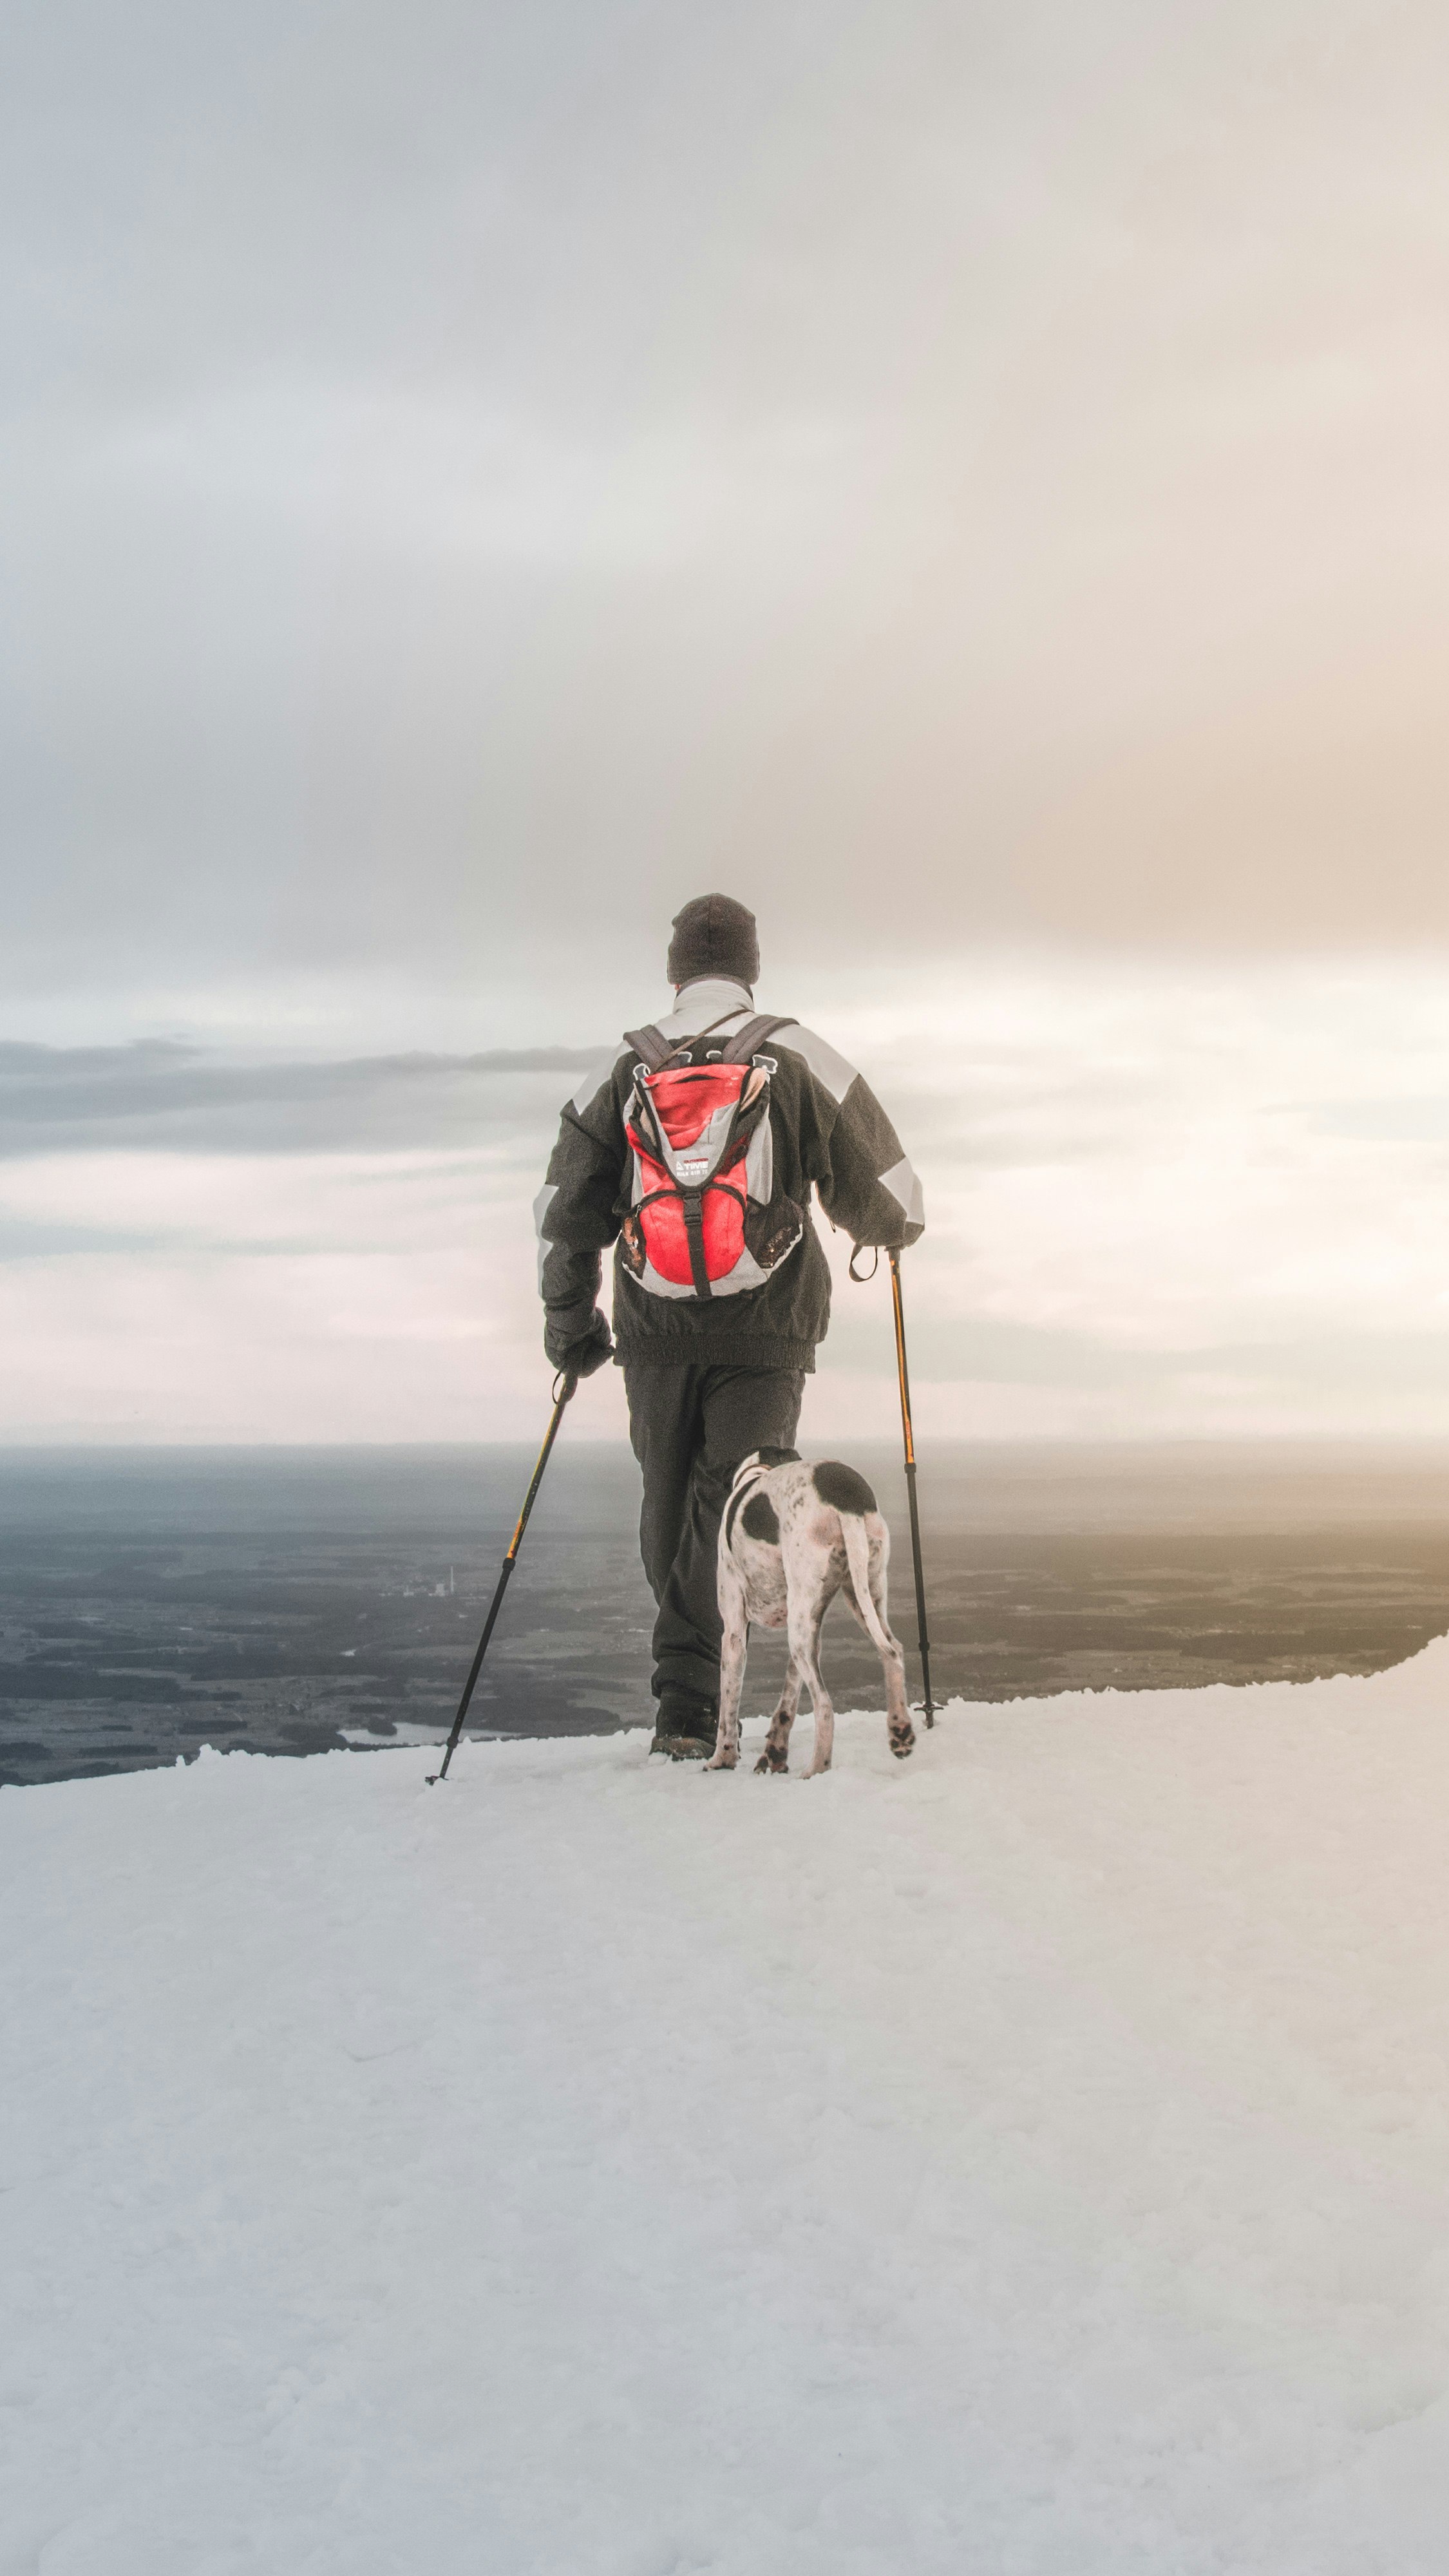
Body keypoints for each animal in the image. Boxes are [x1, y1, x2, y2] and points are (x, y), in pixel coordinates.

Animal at [701, 1443, 913, 1783]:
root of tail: (845, 1497)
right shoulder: (812, 1627)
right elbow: (788, 1699)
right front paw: (774, 1754)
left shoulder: (733, 1631)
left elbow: (728, 1706)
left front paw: (722, 1759)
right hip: (860, 1594)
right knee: (893, 1651)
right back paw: (900, 1732)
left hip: (805, 1620)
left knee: (825, 1704)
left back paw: (816, 1768)